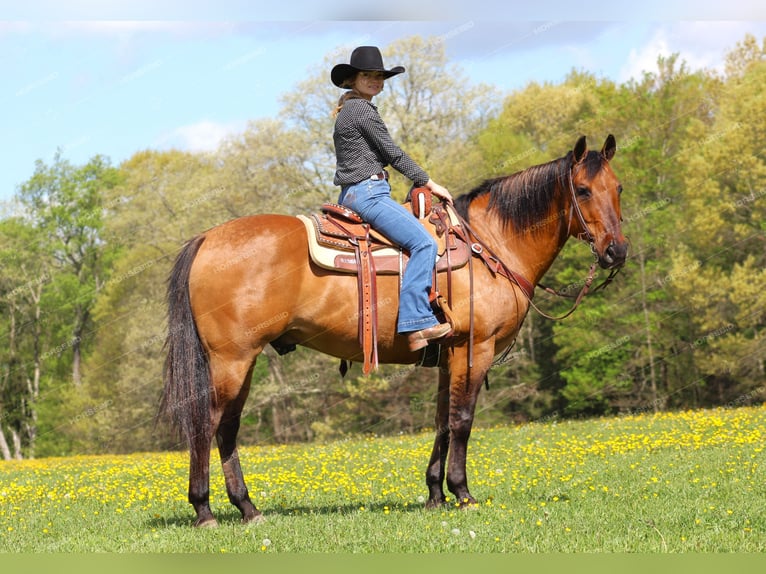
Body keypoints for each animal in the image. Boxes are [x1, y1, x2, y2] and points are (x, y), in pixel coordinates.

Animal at [160, 135, 632, 528]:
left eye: (619, 188)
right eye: (583, 190)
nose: (617, 251)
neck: (490, 244)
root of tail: (206, 239)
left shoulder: (449, 356)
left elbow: (442, 423)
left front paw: (435, 494)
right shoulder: (474, 351)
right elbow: (462, 421)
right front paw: (463, 494)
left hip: (243, 362)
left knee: (227, 428)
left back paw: (248, 508)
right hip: (232, 360)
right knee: (207, 425)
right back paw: (204, 511)